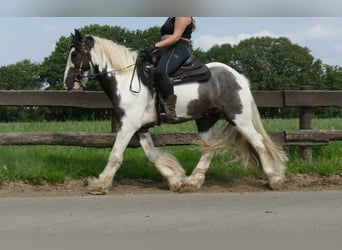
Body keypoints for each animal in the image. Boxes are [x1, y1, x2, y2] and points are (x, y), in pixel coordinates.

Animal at [63, 28, 286, 193]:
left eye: (75, 54)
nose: (67, 83)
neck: (126, 81)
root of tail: (238, 76)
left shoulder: (128, 126)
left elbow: (116, 155)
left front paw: (99, 185)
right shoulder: (140, 128)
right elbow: (152, 155)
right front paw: (175, 180)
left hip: (239, 118)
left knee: (259, 143)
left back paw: (274, 179)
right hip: (205, 120)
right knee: (209, 148)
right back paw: (192, 182)